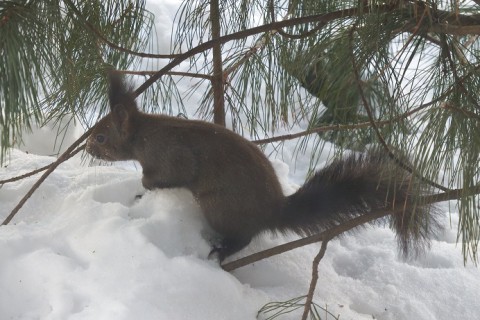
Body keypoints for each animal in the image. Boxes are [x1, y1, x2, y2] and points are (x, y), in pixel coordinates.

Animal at [86, 74, 438, 262]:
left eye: (101, 136)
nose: (87, 148)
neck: (143, 135)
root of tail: (273, 211)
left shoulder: (171, 156)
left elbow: (166, 176)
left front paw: (144, 189)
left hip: (219, 206)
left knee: (243, 237)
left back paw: (223, 250)